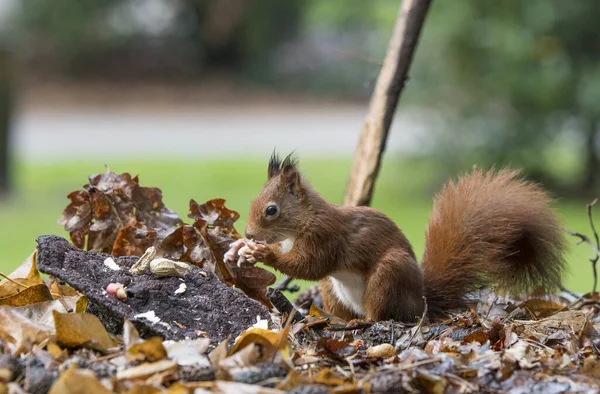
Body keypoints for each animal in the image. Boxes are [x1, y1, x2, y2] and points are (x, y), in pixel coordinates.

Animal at [227, 152, 564, 322]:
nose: (249, 232)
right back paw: (336, 320)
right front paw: (239, 247)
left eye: (271, 210)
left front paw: (262, 253)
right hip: (332, 291)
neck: (301, 224)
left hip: (389, 275)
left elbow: (309, 266)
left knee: (380, 316)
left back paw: (363, 322)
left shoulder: (326, 236)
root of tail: (421, 303)